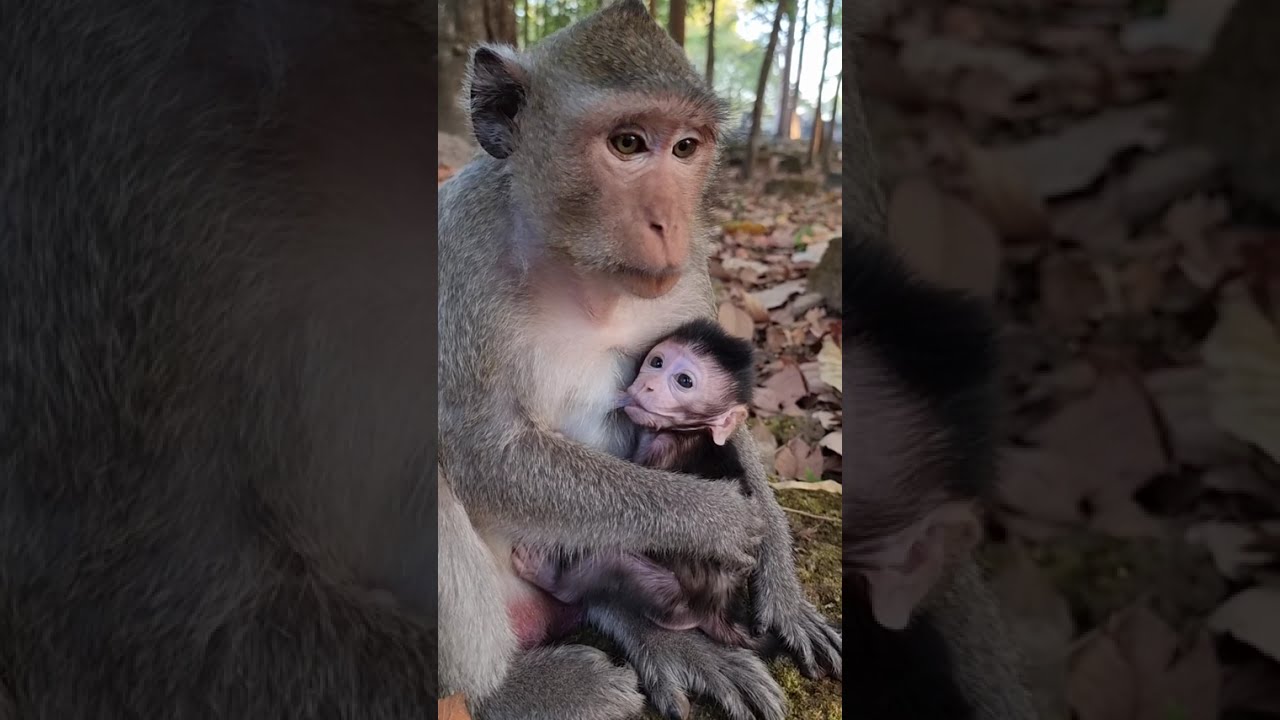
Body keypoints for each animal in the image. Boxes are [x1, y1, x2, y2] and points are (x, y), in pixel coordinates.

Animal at [510, 318, 760, 649]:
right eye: (657, 362)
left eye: (684, 381)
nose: (647, 384)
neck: (692, 430)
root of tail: (717, 609)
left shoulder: (664, 447)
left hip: (669, 599)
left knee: (611, 562)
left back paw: (553, 579)